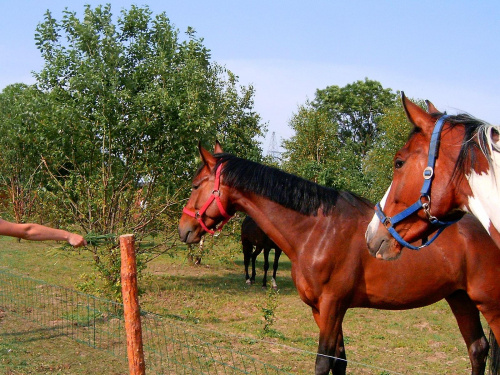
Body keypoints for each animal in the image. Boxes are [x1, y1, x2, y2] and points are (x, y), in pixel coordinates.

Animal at [180, 142, 500, 375]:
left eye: (195, 185)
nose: (185, 229)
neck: (318, 230)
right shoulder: (321, 310)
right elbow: (339, 361)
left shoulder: (333, 305)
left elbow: (323, 362)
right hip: (460, 298)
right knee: (477, 350)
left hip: (489, 304)